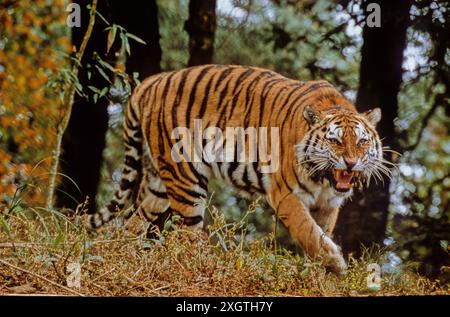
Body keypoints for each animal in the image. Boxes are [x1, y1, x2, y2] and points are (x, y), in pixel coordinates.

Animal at [86, 65, 388, 274]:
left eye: (361, 141)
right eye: (335, 140)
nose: (351, 162)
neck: (323, 180)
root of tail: (152, 81)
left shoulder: (329, 204)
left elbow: (320, 233)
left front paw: (321, 273)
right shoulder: (285, 195)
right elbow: (308, 231)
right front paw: (335, 264)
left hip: (157, 185)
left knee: (133, 222)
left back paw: (122, 255)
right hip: (186, 180)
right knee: (186, 235)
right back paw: (201, 265)